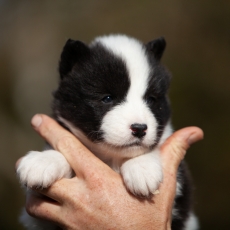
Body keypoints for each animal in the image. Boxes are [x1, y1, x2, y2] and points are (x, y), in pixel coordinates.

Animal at [17, 34, 199, 230]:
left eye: (151, 99)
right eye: (108, 98)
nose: (140, 128)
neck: (110, 158)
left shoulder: (181, 189)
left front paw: (141, 167)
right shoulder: (38, 215)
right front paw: (43, 161)